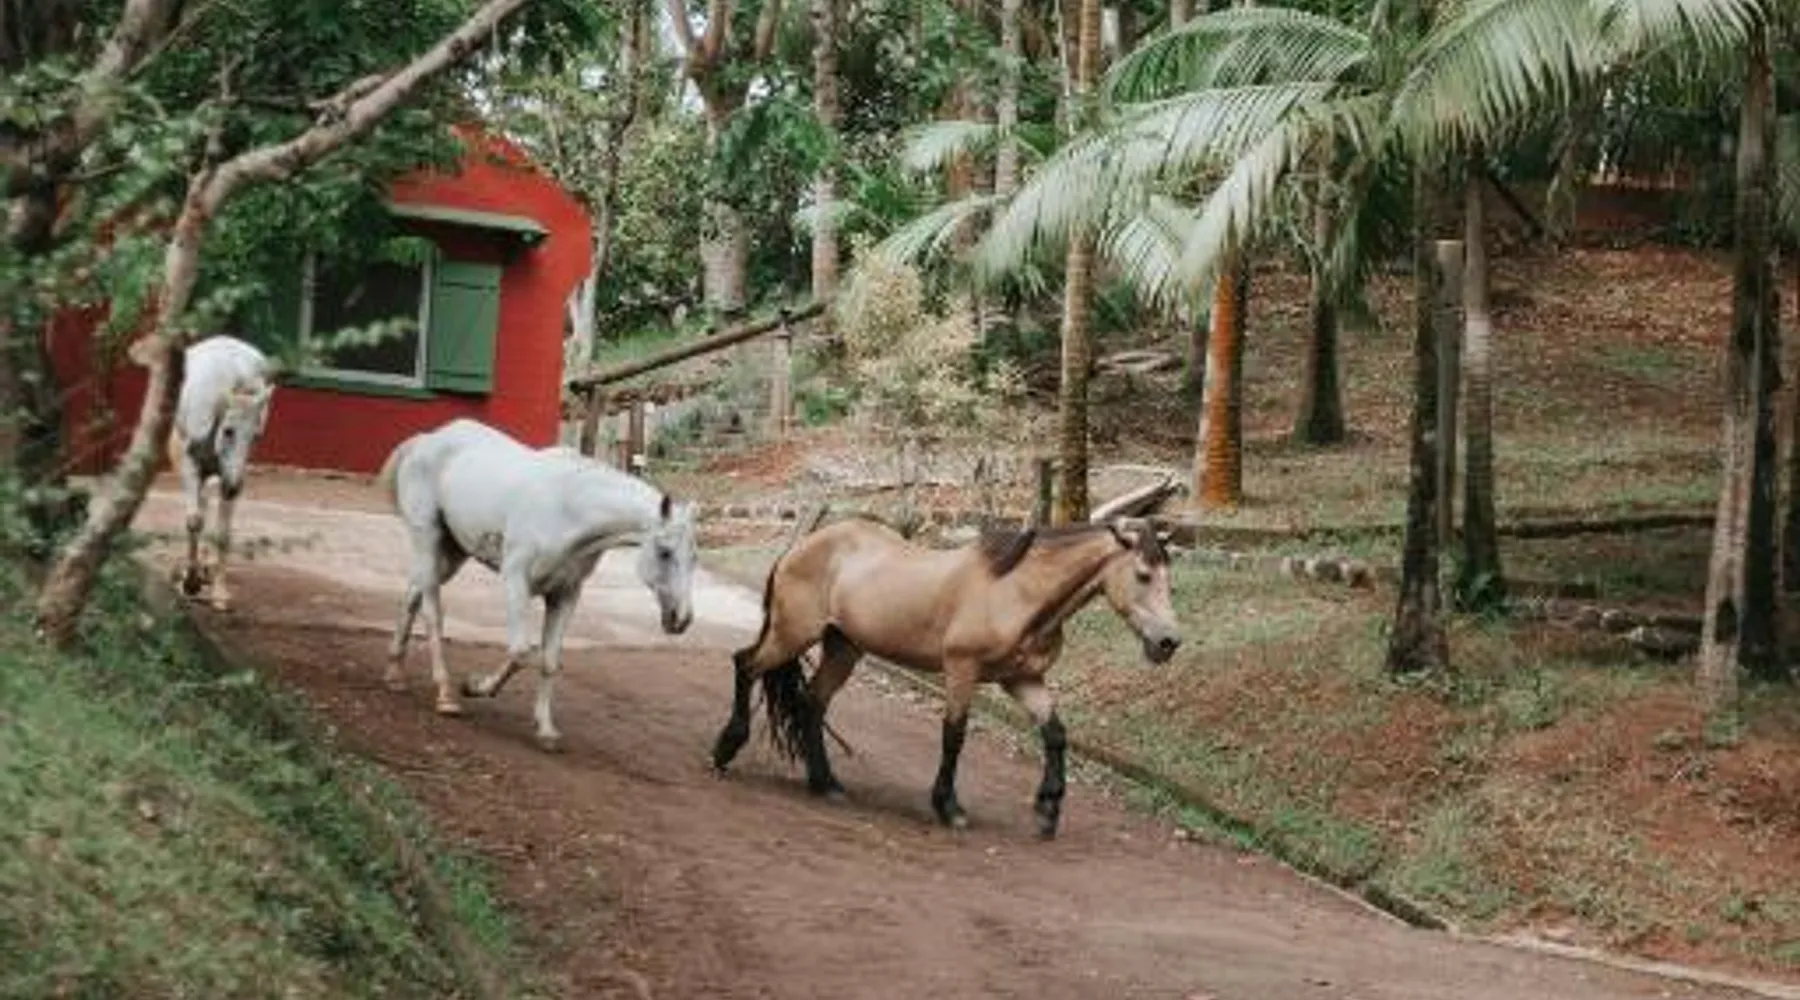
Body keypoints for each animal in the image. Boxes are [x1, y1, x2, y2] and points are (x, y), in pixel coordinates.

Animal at [167, 334, 276, 611]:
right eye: (228, 431)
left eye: (256, 436)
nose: (234, 487)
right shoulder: (189, 464)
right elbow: (194, 520)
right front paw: (190, 582)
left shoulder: (230, 474)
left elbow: (223, 533)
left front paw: (219, 592)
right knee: (201, 506)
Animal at [376, 417, 699, 751]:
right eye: (665, 552)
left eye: (695, 557)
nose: (681, 619)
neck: (569, 509)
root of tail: (427, 439)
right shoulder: (515, 581)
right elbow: (521, 651)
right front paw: (476, 687)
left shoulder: (565, 594)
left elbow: (549, 660)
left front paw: (545, 728)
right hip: (428, 538)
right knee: (432, 612)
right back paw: (445, 694)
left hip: (454, 552)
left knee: (413, 595)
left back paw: (394, 674)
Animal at [711, 514, 1182, 840]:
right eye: (1143, 574)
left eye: (1169, 579)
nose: (1168, 642)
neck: (1017, 592)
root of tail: (801, 547)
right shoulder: (961, 670)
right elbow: (954, 735)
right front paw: (948, 807)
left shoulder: (1022, 680)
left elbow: (1055, 734)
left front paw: (1048, 811)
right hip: (791, 634)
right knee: (744, 664)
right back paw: (725, 750)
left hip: (843, 647)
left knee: (812, 702)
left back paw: (825, 783)